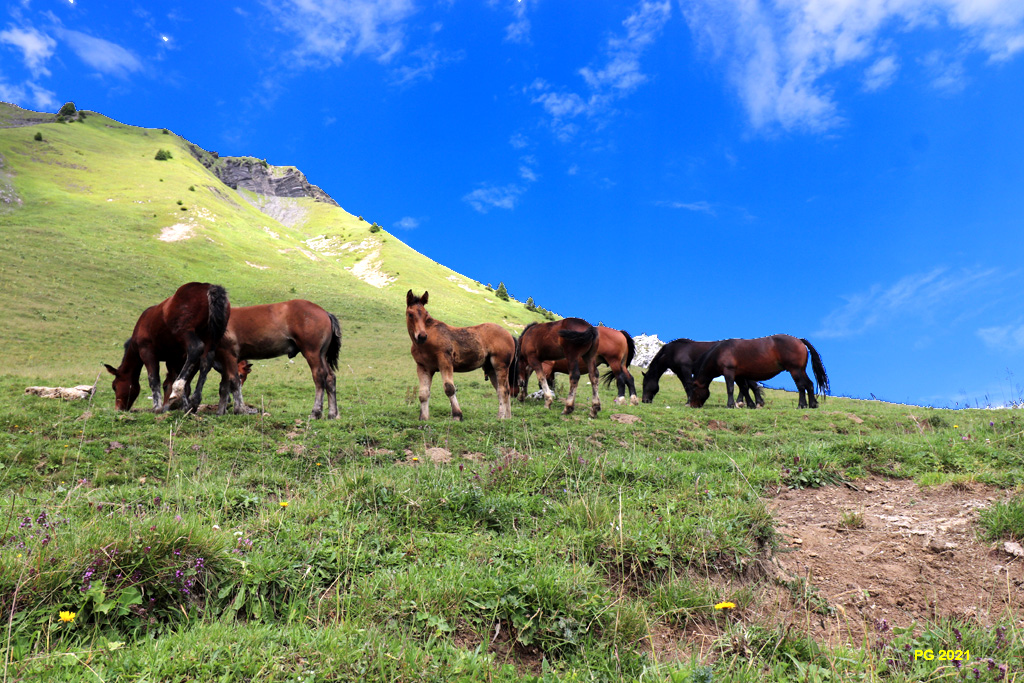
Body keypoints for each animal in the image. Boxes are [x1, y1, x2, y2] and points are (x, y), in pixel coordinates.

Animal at [103, 282, 230, 411]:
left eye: (114, 386)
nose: (118, 408)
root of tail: (209, 287)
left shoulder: (147, 352)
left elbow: (154, 380)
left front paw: (158, 406)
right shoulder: (173, 358)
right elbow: (172, 379)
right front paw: (180, 405)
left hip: (185, 332)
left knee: (196, 349)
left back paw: (178, 389)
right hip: (212, 338)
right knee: (206, 360)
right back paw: (195, 400)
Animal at [212, 301, 344, 419]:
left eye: (242, 375)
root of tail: (325, 313)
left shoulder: (229, 355)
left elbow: (233, 382)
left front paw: (239, 410)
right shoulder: (224, 361)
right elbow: (224, 386)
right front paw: (220, 412)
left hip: (312, 353)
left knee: (319, 377)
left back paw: (316, 413)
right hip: (321, 355)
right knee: (330, 377)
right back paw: (332, 414)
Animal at [405, 290, 516, 421]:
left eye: (426, 314)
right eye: (410, 314)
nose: (422, 336)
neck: (426, 342)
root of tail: (509, 335)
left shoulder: (445, 362)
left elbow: (449, 388)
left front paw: (457, 415)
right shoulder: (423, 367)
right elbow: (423, 393)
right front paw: (424, 417)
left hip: (500, 366)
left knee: (503, 390)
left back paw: (502, 417)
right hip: (491, 369)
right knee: (502, 390)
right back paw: (506, 417)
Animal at [684, 335, 827, 409]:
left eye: (694, 390)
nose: (692, 405)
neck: (720, 352)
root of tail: (799, 340)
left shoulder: (729, 372)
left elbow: (730, 388)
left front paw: (730, 404)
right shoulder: (739, 375)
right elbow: (745, 388)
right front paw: (751, 404)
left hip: (795, 370)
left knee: (801, 386)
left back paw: (801, 405)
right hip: (801, 370)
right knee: (809, 384)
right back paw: (812, 404)